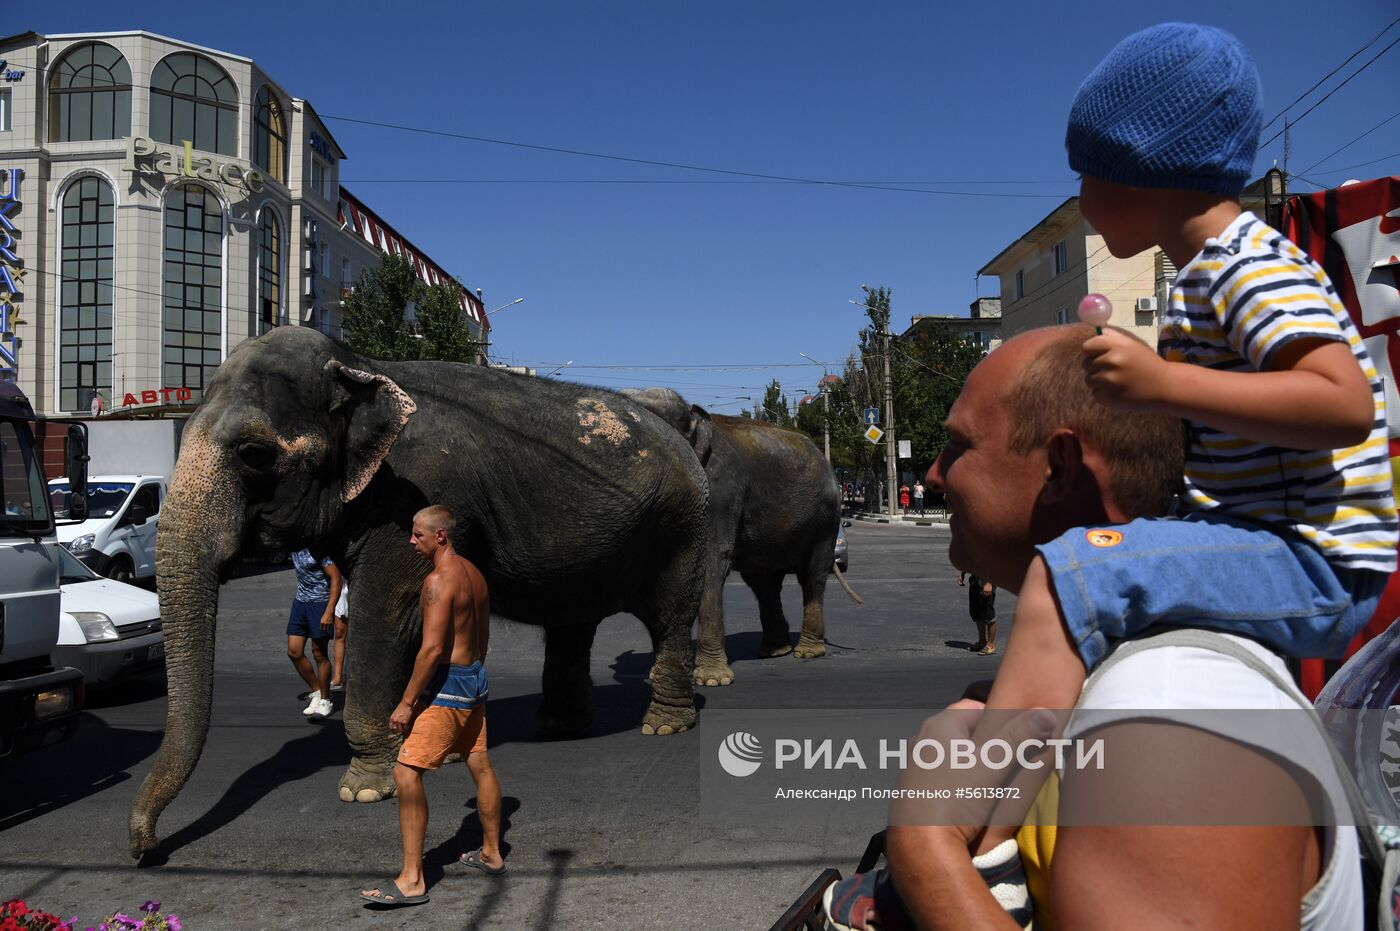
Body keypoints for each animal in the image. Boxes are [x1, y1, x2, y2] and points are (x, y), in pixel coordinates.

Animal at [131, 326, 711, 856]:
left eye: (253, 454)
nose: (144, 845)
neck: (360, 365)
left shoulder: (412, 499)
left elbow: (387, 614)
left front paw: (364, 791)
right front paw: (439, 751)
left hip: (681, 526)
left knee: (670, 617)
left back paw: (663, 726)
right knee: (571, 623)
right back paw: (559, 725)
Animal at [627, 383, 851, 683]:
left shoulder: (720, 491)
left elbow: (711, 561)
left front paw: (711, 680)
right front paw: (659, 675)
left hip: (825, 518)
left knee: (812, 574)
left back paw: (807, 652)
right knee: (763, 583)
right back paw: (775, 650)